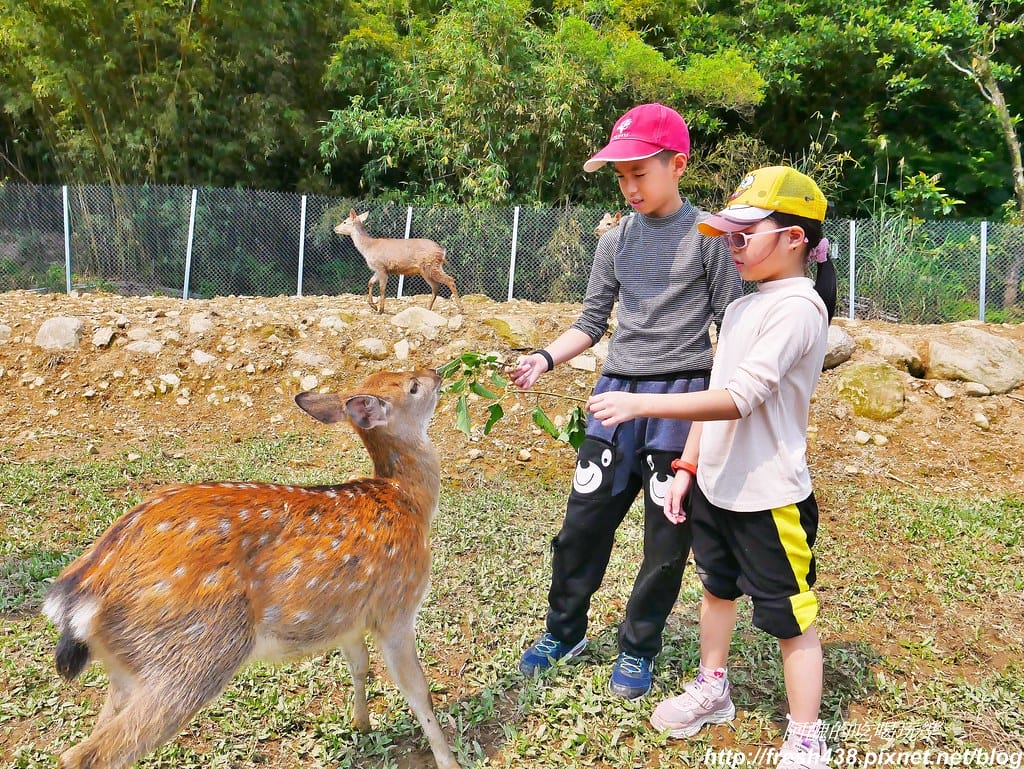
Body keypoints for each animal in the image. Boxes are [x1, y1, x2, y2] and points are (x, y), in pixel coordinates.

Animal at [42, 368, 460, 769]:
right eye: (413, 385)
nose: (437, 372)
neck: (407, 501)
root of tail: (81, 592)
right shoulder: (396, 606)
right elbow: (418, 692)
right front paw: (448, 760)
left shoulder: (348, 617)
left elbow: (359, 666)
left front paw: (362, 723)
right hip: (194, 655)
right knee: (88, 754)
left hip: (128, 666)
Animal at [334, 210, 463, 315]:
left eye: (345, 221)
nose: (335, 228)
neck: (368, 248)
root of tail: (442, 251)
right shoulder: (378, 269)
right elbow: (370, 282)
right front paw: (373, 306)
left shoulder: (381, 266)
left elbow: (382, 288)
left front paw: (380, 310)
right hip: (426, 270)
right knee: (436, 286)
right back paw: (428, 308)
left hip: (430, 265)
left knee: (450, 280)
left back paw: (461, 309)